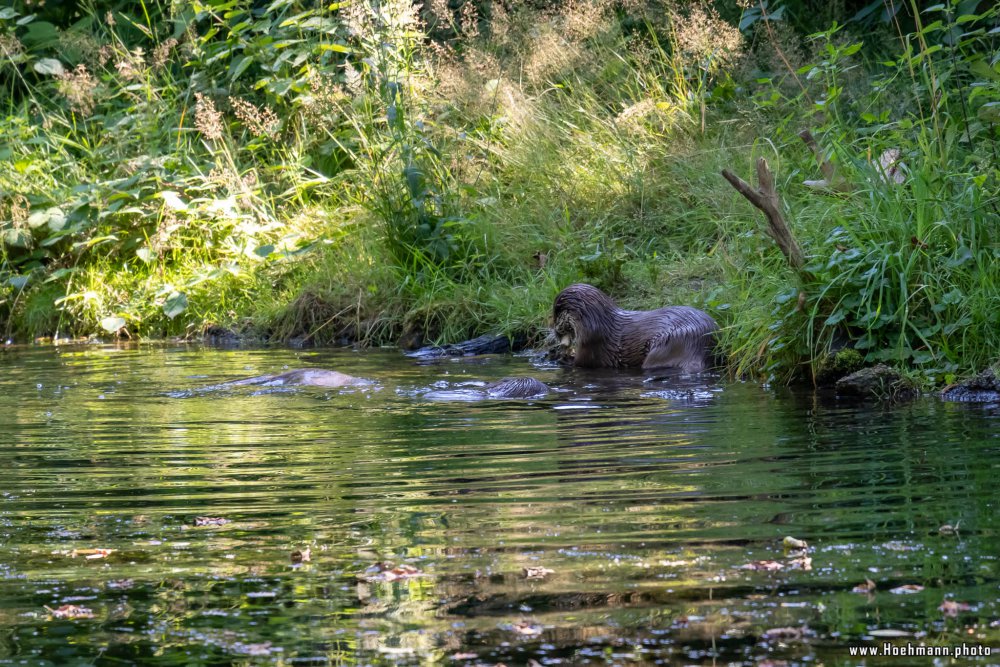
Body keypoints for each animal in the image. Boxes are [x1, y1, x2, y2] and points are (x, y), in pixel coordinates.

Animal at [552, 284, 716, 374]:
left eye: (555, 315)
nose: (554, 331)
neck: (598, 325)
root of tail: (699, 347)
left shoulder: (590, 345)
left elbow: (580, 363)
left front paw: (562, 358)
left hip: (667, 345)